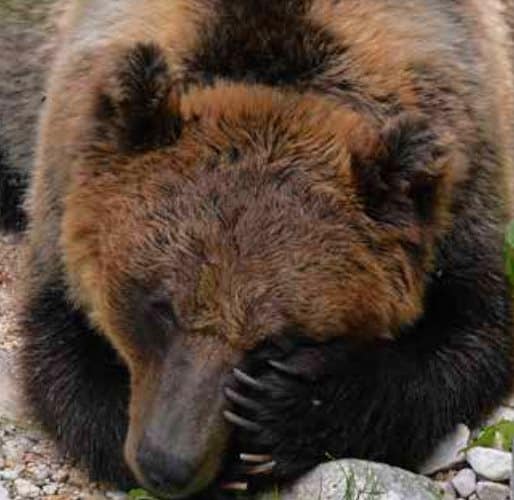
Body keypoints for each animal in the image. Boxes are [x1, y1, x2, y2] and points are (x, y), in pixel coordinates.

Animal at [8, 0, 512, 498]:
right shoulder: (59, 193)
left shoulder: (468, 183)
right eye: (160, 307)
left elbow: (469, 336)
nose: (167, 464)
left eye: (276, 340)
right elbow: (59, 354)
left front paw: (286, 409)